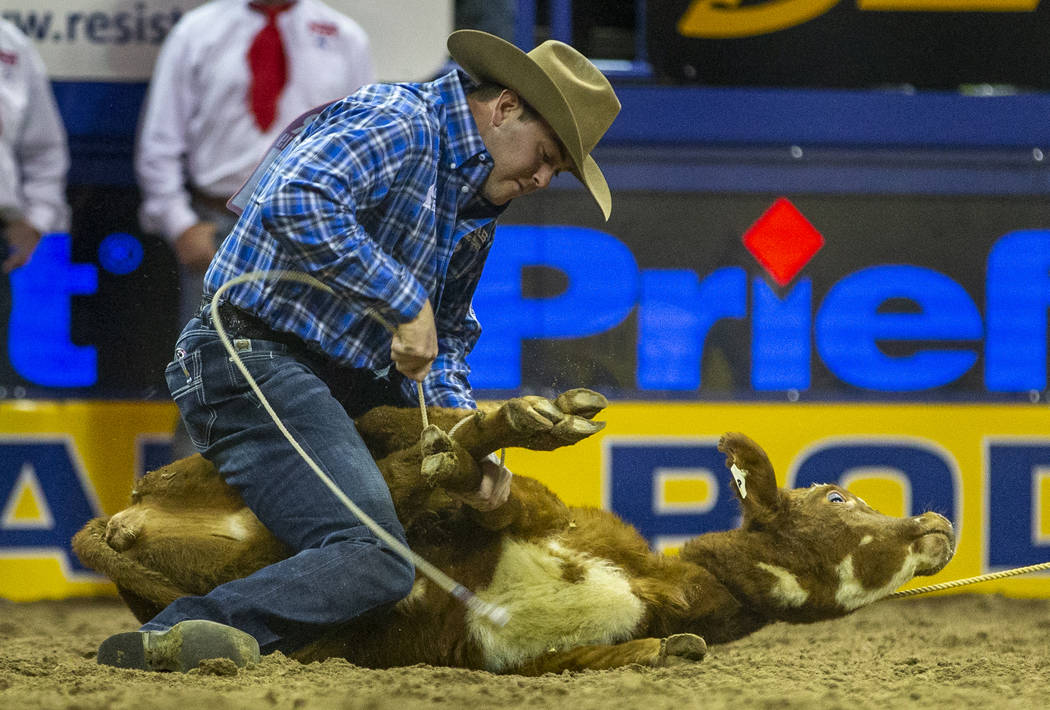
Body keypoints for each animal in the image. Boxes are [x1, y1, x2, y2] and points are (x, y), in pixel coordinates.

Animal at [69, 390, 957, 672]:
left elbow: (647, 653)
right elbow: (472, 489)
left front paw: (671, 649)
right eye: (839, 495)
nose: (936, 522)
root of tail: (123, 512)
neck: (658, 585)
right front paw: (506, 429)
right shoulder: (508, 512)